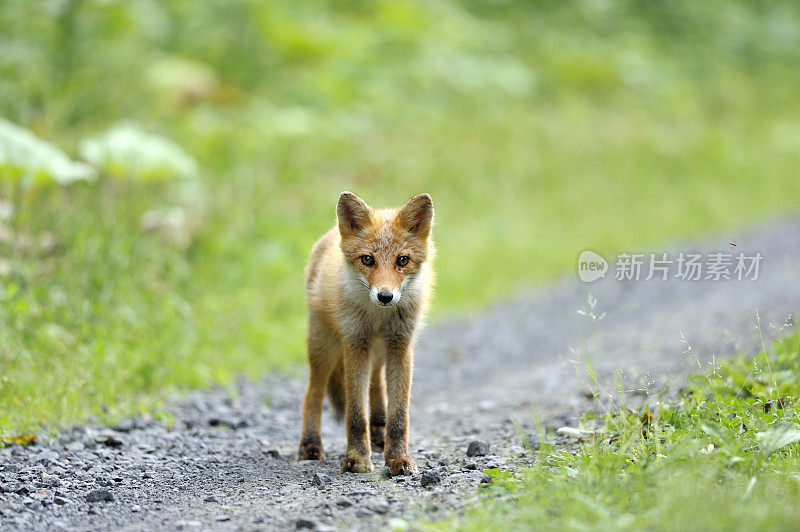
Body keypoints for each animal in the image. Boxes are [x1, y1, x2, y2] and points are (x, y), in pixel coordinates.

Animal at [296, 190, 434, 474]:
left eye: (402, 260)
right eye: (367, 260)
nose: (385, 296)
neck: (379, 318)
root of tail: (330, 234)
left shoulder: (400, 345)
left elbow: (399, 414)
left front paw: (398, 458)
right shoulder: (355, 343)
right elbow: (356, 413)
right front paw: (357, 459)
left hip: (379, 352)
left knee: (376, 385)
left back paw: (379, 431)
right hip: (324, 346)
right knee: (312, 393)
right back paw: (310, 445)